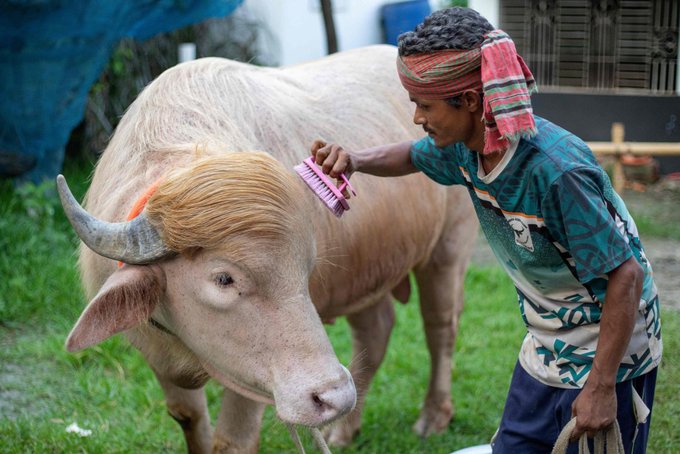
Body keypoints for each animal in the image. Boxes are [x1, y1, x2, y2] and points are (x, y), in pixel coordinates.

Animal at [58, 45, 478, 452]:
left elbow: (232, 442)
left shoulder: (253, 381)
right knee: (376, 332)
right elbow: (187, 417)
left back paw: (432, 417)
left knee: (441, 327)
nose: (334, 397)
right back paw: (343, 431)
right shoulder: (157, 355)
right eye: (223, 279)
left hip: (448, 247)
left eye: (304, 272)